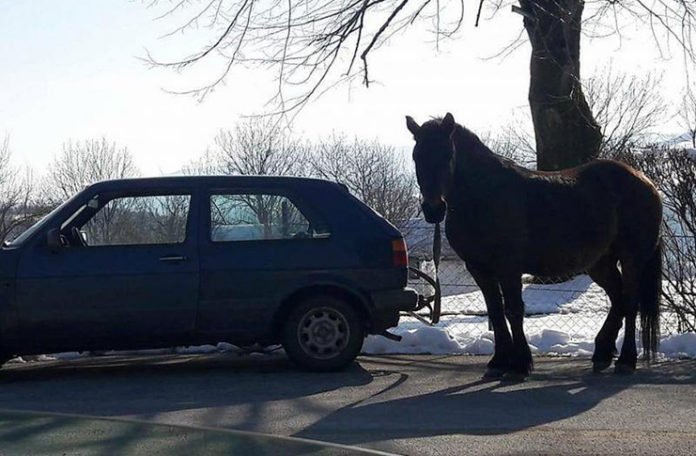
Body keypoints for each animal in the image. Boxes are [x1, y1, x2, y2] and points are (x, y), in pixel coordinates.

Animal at [408, 113, 664, 378]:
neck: (484, 195)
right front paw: (498, 362)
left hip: (633, 258)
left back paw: (626, 360)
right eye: (417, 156)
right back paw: (603, 352)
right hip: (600, 263)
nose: (433, 209)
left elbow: (513, 310)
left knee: (630, 302)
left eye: (448, 154)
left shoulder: (508, 267)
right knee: (618, 299)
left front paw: (520, 364)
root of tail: (646, 182)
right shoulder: (479, 268)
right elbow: (495, 311)